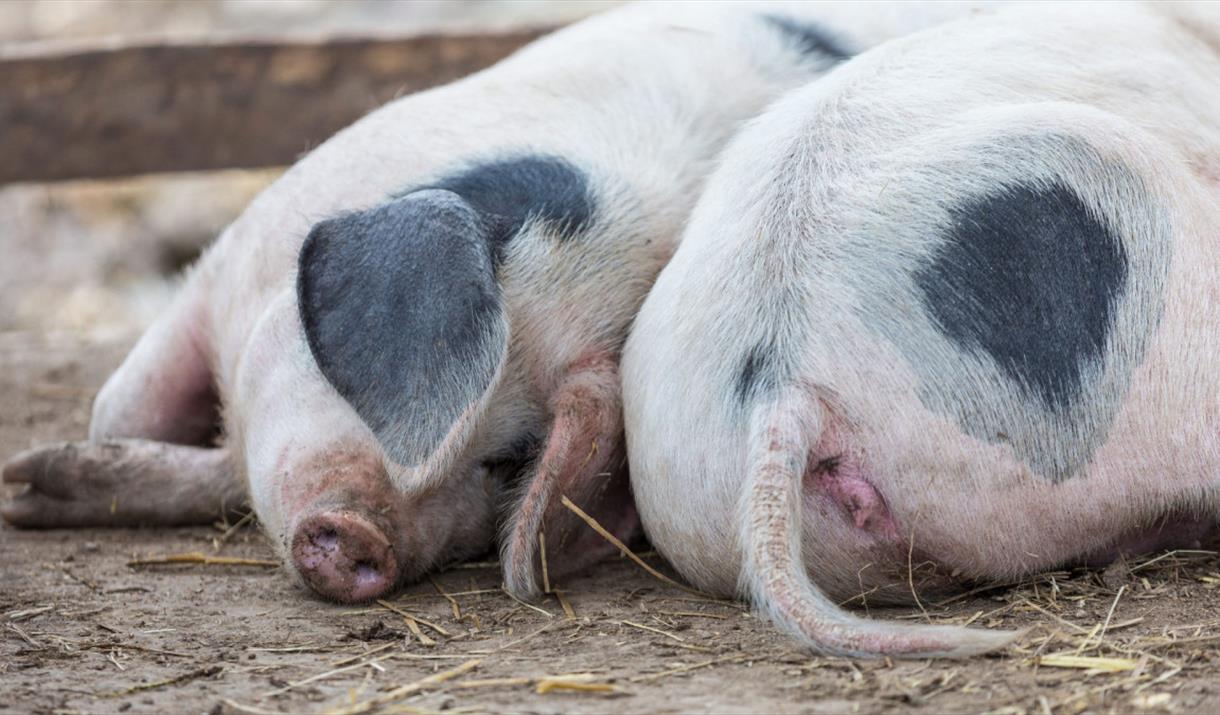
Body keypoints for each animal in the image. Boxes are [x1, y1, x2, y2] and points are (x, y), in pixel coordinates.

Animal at [0, 1, 990, 600]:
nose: (366, 537)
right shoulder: (233, 258)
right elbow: (122, 406)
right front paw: (25, 486)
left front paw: (28, 486)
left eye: (508, 457)